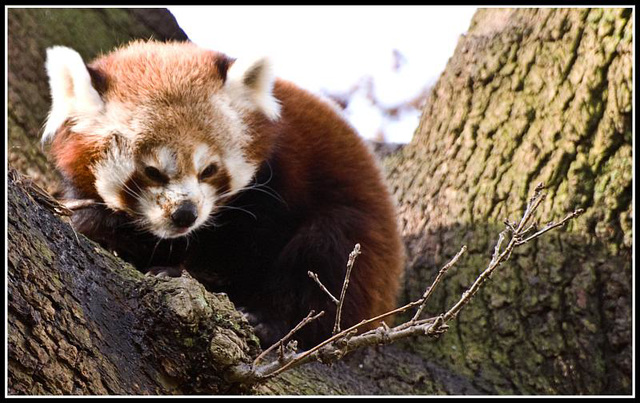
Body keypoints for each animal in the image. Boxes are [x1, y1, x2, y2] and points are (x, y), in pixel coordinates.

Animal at [43, 41, 404, 350]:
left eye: (209, 170)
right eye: (153, 172)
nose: (185, 214)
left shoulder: (279, 181)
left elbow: (245, 249)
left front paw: (181, 273)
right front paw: (103, 229)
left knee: (325, 250)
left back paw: (269, 322)